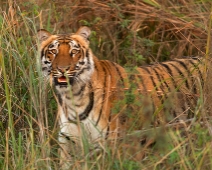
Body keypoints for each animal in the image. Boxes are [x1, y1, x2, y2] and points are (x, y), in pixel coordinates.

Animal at [36, 25, 205, 167]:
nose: (62, 69)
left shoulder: (119, 144)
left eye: (74, 52)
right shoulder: (69, 143)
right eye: (53, 51)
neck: (73, 97)